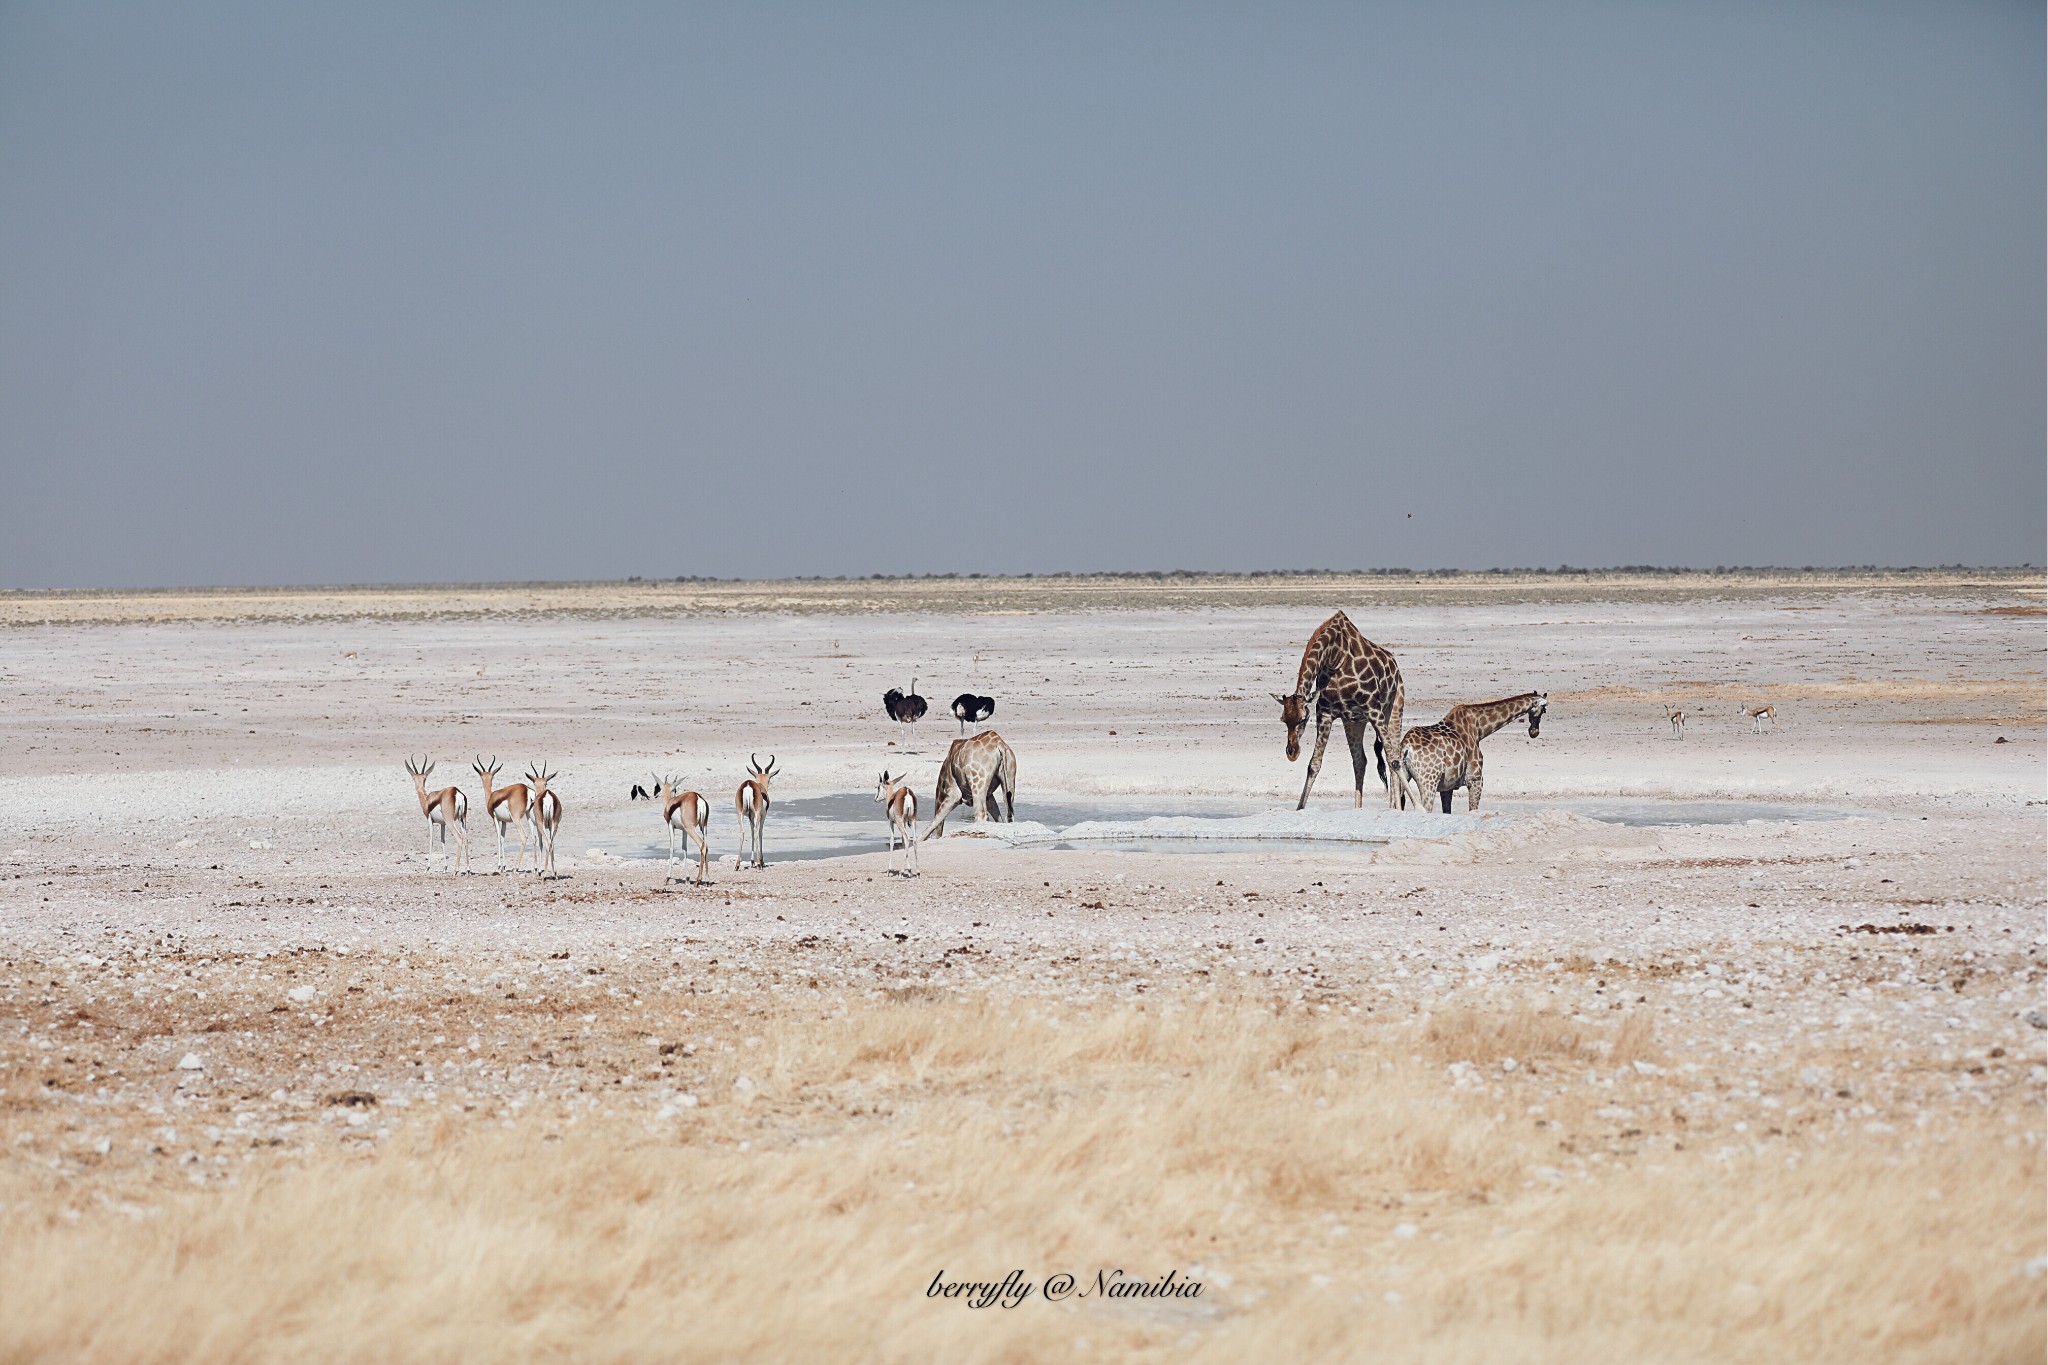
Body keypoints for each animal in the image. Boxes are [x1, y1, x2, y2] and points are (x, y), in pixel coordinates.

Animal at [1261, 609, 1409, 810]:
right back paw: (1358, 808)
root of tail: (1395, 667)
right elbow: (1314, 764)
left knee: (1393, 755)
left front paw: (1418, 807)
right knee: (1360, 760)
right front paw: (1299, 808)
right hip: (1354, 721)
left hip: (1393, 710)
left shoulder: (1374, 709)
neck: (1335, 656)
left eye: (1303, 719)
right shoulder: (1325, 712)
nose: (1292, 752)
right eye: (1284, 719)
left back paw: (1396, 807)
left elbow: (1393, 760)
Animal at [1392, 695, 1548, 810]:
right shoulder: (1476, 779)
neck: (1479, 729)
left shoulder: (1447, 787)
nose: (1534, 732)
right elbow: (1473, 810)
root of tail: (1406, 747)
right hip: (1428, 781)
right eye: (1544, 709)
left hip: (1400, 777)